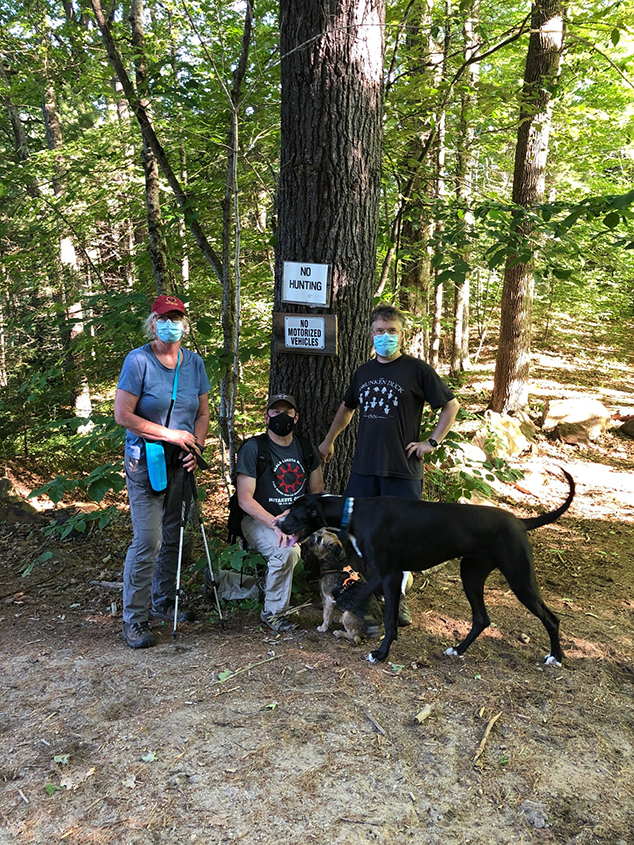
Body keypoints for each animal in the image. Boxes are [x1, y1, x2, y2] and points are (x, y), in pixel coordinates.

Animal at [276, 472, 572, 664]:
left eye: (294, 513)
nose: (278, 523)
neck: (355, 510)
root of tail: (521, 522)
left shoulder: (390, 575)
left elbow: (387, 617)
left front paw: (380, 652)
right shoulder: (383, 573)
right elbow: (363, 597)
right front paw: (367, 623)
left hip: (520, 580)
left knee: (551, 618)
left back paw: (555, 657)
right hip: (471, 574)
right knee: (481, 619)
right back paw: (458, 650)